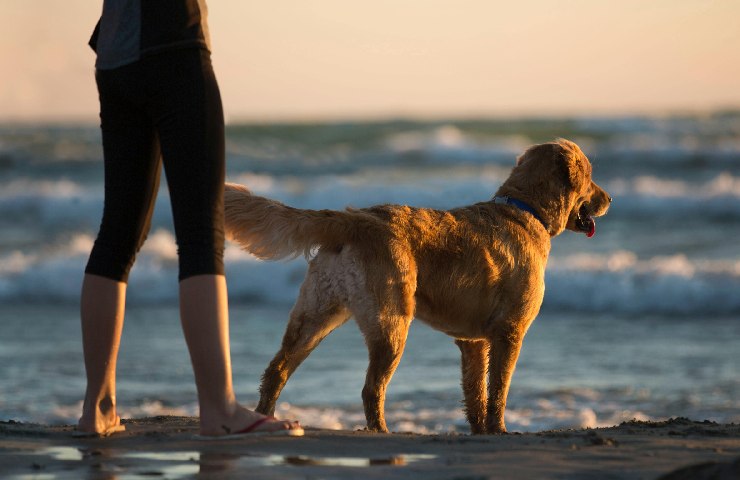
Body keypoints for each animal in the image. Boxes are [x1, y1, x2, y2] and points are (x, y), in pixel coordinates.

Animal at [225, 139, 612, 436]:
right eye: (591, 176)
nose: (609, 199)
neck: (525, 209)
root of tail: (355, 218)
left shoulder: (473, 341)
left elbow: (475, 392)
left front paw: (479, 431)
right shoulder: (510, 332)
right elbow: (498, 390)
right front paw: (499, 430)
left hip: (315, 315)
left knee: (276, 370)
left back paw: (265, 418)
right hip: (391, 323)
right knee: (371, 388)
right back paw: (381, 431)